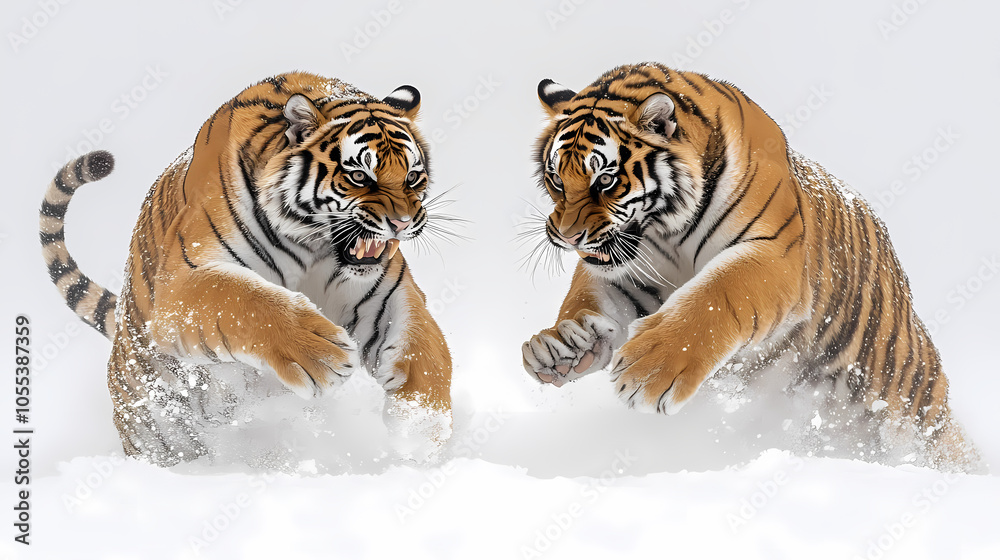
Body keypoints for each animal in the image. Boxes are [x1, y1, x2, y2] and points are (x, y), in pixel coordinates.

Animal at [40, 72, 452, 467]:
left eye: (413, 177)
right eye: (359, 177)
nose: (402, 223)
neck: (314, 245)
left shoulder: (385, 295)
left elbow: (426, 350)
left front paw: (421, 429)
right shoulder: (181, 283)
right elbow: (246, 299)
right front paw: (321, 353)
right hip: (153, 427)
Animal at [521, 62, 984, 472]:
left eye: (605, 180)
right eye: (556, 179)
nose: (566, 237)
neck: (667, 228)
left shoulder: (773, 253)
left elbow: (714, 296)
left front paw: (646, 372)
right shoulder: (629, 270)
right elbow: (589, 297)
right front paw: (561, 346)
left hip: (907, 401)